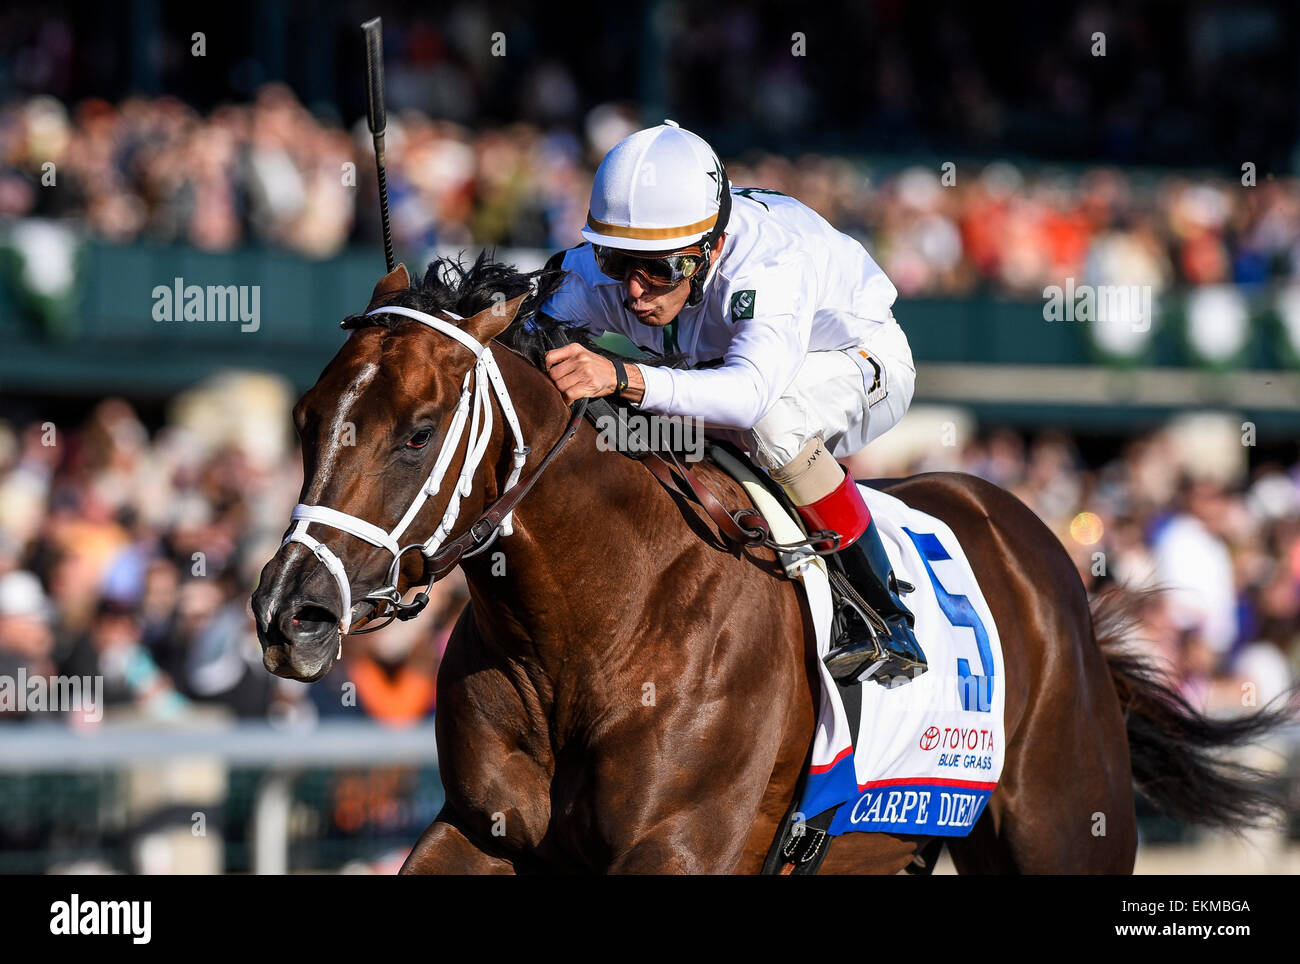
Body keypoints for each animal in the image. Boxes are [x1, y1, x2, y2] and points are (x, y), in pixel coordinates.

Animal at [248, 254, 1284, 878]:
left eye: (419, 432)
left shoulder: (680, 850)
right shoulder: (479, 827)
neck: (591, 628)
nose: (290, 611)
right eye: (305, 418)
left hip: (1066, 829)